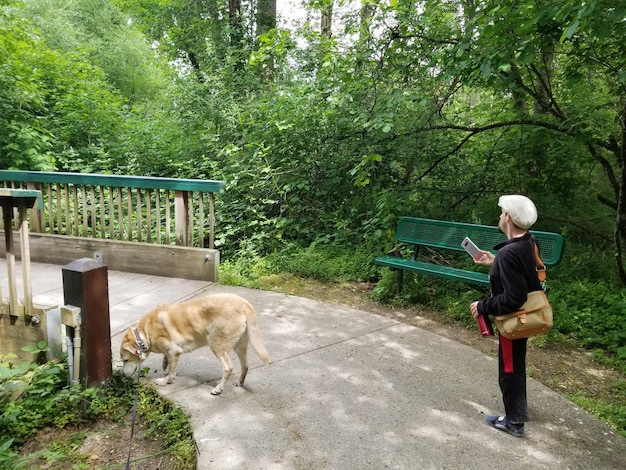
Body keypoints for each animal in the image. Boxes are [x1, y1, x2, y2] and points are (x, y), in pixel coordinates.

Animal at [119, 292, 268, 394]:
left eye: (125, 360)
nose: (122, 375)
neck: (143, 334)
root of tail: (245, 304)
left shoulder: (174, 351)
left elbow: (171, 371)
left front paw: (166, 381)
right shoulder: (172, 352)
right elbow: (168, 362)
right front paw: (165, 365)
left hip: (216, 344)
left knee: (228, 368)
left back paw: (219, 388)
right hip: (240, 346)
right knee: (245, 366)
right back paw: (240, 382)